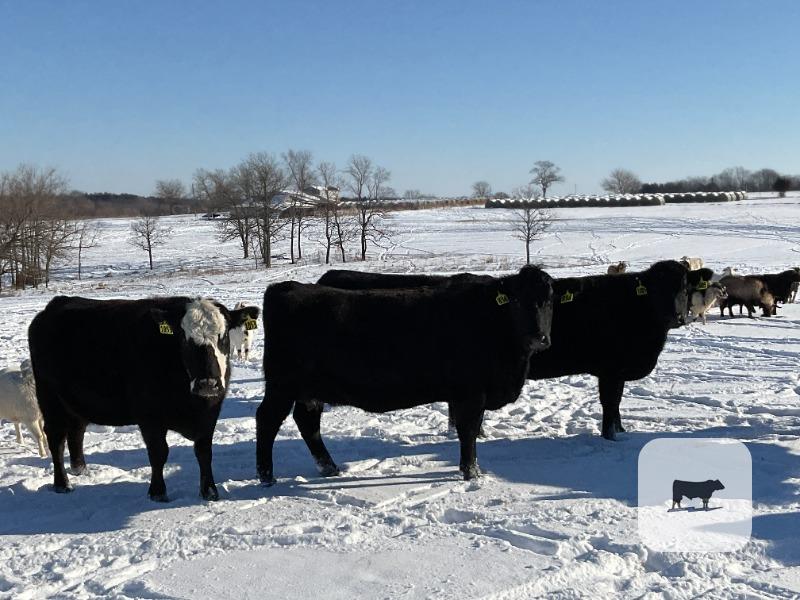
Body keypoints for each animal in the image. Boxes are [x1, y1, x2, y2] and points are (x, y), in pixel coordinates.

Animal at [28, 296, 260, 501]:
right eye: (184, 338)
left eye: (224, 336)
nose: (207, 384)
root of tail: (53, 306)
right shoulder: (149, 417)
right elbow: (159, 453)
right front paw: (157, 493)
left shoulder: (210, 413)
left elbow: (204, 452)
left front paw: (210, 492)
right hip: (50, 399)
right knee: (56, 438)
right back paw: (62, 484)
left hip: (75, 403)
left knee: (77, 431)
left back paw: (80, 470)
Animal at [256, 266, 554, 484]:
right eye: (516, 301)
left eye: (549, 300)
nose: (538, 337)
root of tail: (286, 287)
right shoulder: (470, 393)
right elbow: (468, 432)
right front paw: (472, 473)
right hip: (281, 385)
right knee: (268, 419)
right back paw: (266, 476)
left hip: (309, 390)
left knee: (307, 422)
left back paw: (329, 468)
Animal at [320, 261, 688, 441]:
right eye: (657, 288)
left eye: (684, 287)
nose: (677, 315)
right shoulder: (610, 369)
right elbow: (610, 404)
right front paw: (611, 437)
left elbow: (618, 405)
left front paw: (622, 431)